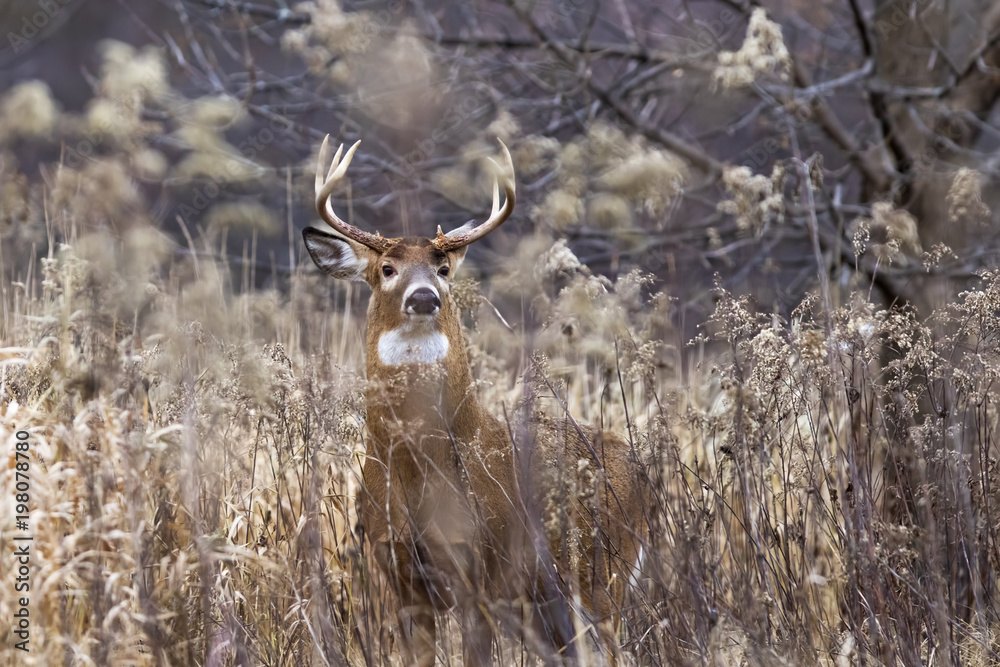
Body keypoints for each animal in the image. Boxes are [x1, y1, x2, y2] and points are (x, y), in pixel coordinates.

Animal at [302, 136, 648, 666]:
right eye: (387, 269)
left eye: (443, 268)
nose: (425, 296)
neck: (417, 472)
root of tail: (646, 474)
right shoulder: (401, 580)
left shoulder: (479, 575)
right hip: (550, 603)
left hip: (602, 571)